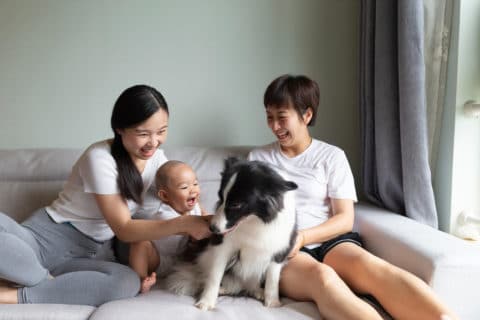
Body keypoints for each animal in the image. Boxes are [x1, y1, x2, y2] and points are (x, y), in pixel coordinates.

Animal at [164, 158, 296, 310]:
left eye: (236, 204)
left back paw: (256, 291)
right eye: (220, 197)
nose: (212, 229)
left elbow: (272, 279)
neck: (253, 222)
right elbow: (214, 276)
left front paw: (273, 302)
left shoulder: (280, 250)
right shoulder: (222, 247)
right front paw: (206, 301)